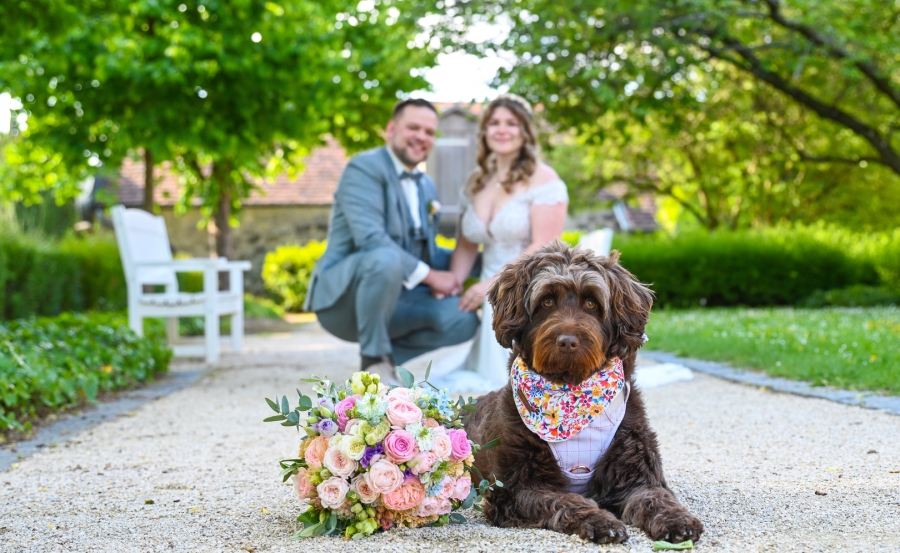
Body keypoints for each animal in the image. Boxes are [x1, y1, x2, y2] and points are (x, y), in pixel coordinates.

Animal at [465, 240, 703, 544]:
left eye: (591, 303)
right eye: (547, 302)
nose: (567, 341)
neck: (571, 392)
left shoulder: (638, 473)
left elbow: (656, 496)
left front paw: (678, 520)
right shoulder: (516, 490)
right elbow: (565, 500)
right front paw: (600, 521)